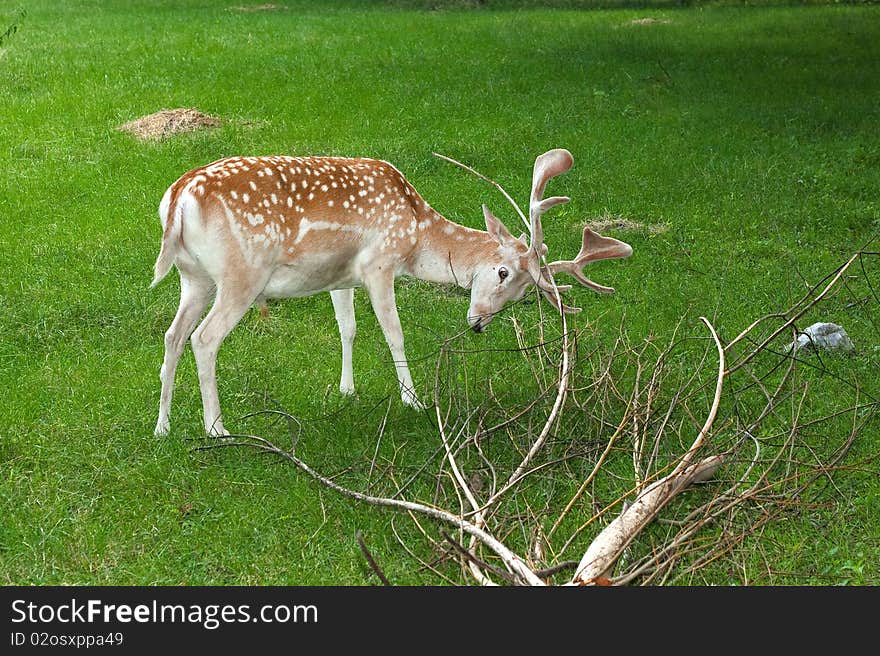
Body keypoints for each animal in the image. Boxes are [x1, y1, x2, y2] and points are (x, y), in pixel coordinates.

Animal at [151, 149, 632, 436]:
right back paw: (217, 428)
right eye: (501, 272)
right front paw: (413, 400)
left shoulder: (339, 277)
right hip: (242, 274)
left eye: (520, 295)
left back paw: (163, 425)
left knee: (173, 335)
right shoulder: (379, 263)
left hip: (194, 277)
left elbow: (348, 327)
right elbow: (393, 333)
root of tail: (177, 199)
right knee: (204, 338)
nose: (478, 323)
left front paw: (346, 390)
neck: (417, 233)